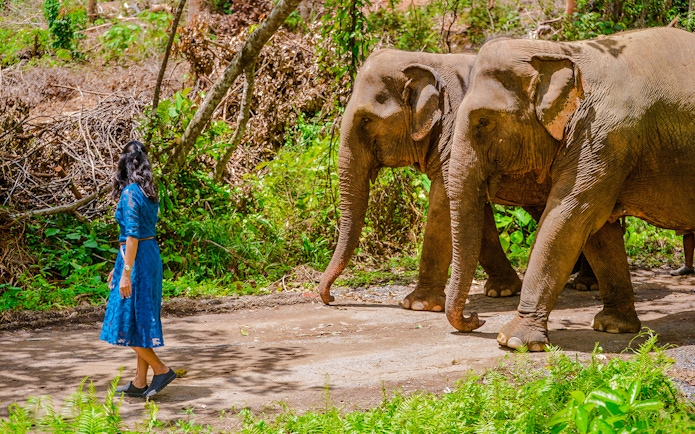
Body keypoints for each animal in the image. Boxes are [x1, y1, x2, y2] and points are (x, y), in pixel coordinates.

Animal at [317, 49, 597, 311]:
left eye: (366, 119)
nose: (330, 298)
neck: (426, 60)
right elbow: (475, 211)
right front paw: (501, 290)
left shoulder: (461, 135)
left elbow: (443, 205)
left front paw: (419, 305)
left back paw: (586, 284)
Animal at [445, 27, 695, 351]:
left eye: (484, 122)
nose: (476, 319)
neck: (560, 51)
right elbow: (598, 229)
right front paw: (613, 327)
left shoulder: (605, 136)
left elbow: (569, 217)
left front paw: (513, 341)